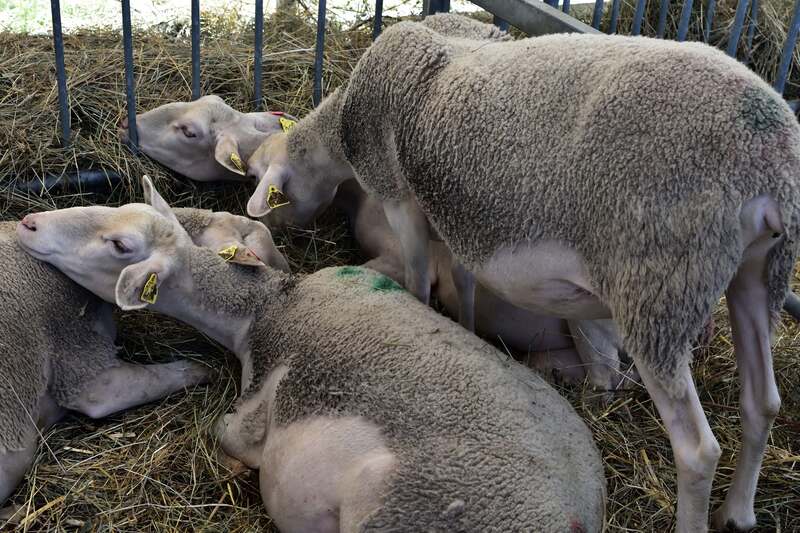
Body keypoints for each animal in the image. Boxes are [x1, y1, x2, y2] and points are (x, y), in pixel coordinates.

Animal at [17, 176, 608, 532]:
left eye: (121, 246)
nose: (26, 224)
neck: (267, 306)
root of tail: (570, 518)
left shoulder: (252, 408)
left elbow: (229, 435)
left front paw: (235, 465)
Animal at [242, 20, 800, 532]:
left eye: (255, 178)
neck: (340, 132)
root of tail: (768, 164)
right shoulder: (460, 218)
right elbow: (464, 284)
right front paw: (466, 329)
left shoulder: (399, 196)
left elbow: (419, 280)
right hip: (759, 272)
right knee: (763, 402)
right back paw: (738, 512)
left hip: (659, 286)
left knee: (698, 450)